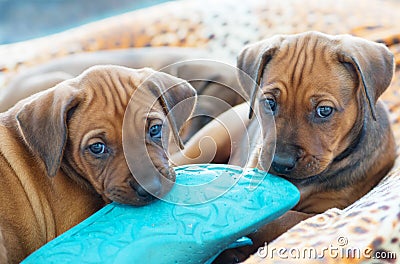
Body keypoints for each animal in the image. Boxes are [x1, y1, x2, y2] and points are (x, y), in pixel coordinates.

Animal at [173, 31, 396, 262]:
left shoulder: (327, 209)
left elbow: (283, 219)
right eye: (270, 103)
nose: (280, 162)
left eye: (324, 110)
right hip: (205, 145)